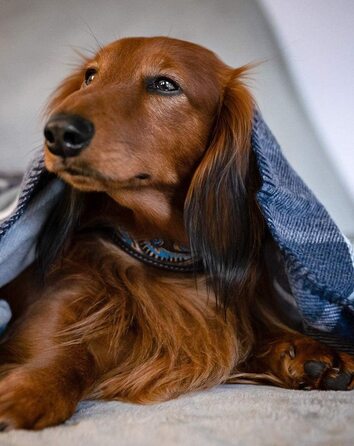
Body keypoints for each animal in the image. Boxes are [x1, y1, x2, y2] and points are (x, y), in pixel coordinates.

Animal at [0, 37, 352, 428]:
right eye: (91, 76)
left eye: (165, 84)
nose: (59, 132)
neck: (160, 252)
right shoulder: (53, 306)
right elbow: (65, 353)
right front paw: (34, 388)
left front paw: (314, 352)